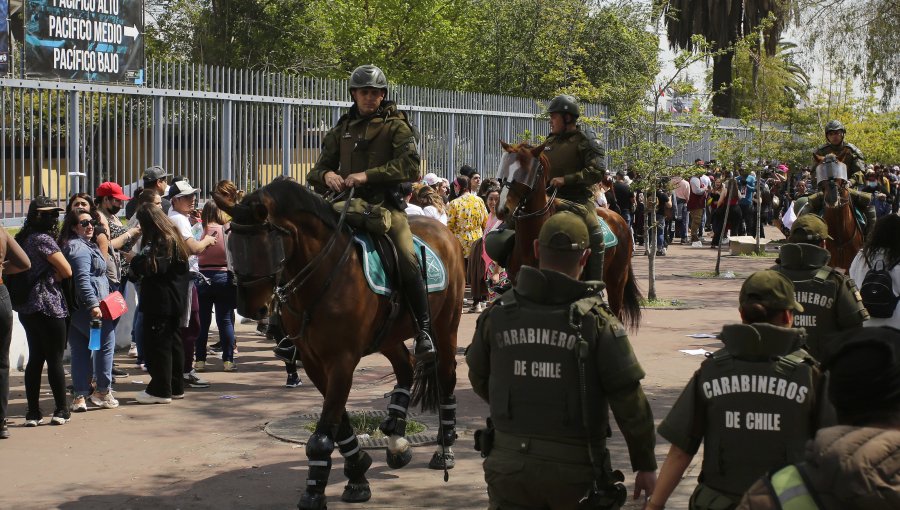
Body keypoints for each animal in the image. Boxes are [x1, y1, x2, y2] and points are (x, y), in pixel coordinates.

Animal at [213, 177, 464, 508]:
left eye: (264, 246)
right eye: (234, 246)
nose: (250, 309)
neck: (323, 275)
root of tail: (445, 232)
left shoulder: (342, 361)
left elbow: (323, 434)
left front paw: (315, 491)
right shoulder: (313, 361)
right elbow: (338, 421)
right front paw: (357, 471)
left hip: (445, 329)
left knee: (446, 380)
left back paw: (444, 450)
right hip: (388, 336)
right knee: (406, 368)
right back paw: (396, 438)